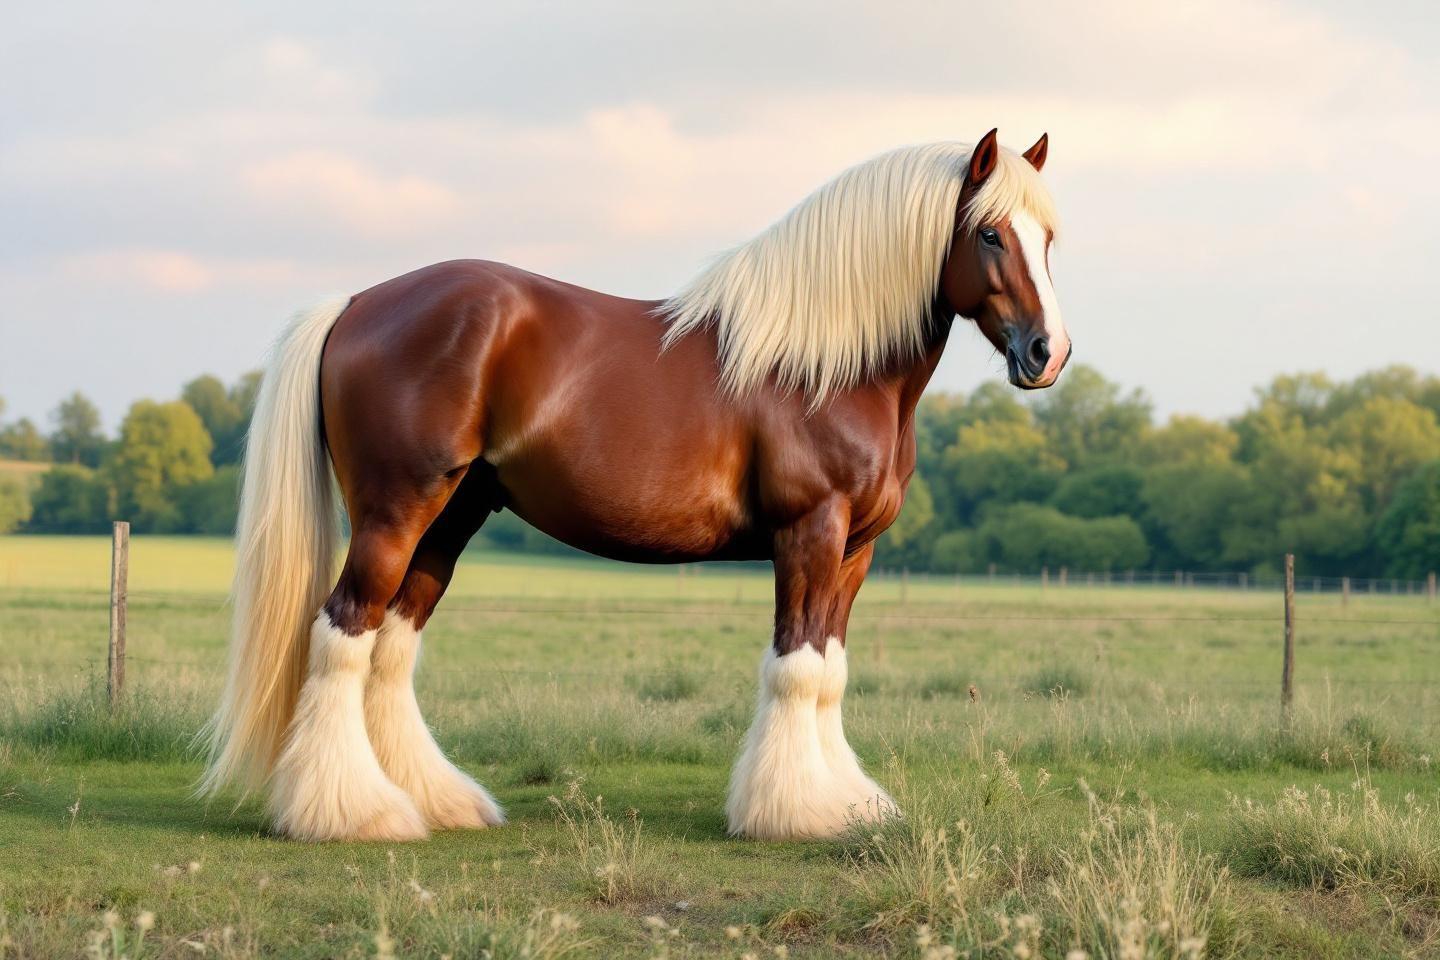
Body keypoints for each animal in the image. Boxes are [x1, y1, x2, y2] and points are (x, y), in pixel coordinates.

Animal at [200, 128, 1068, 842]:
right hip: (395, 511)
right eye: (990, 232)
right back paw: (352, 813)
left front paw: (842, 800)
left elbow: (828, 669)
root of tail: (355, 303)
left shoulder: (855, 551)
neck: (826, 365)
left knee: (390, 644)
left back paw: (434, 800)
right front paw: (792, 812)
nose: (1046, 353)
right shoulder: (810, 533)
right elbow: (796, 665)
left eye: (1049, 238)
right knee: (344, 629)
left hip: (450, 519)